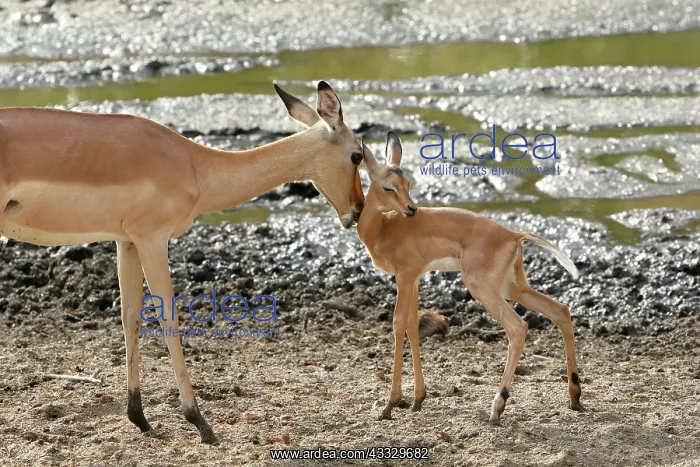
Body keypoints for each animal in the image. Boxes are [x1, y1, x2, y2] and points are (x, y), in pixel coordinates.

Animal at [0, 81, 365, 444]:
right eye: (357, 155)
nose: (357, 210)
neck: (193, 165)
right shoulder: (152, 238)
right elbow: (168, 318)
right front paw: (200, 422)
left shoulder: (127, 242)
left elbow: (130, 317)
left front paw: (139, 418)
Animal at [357, 132, 582, 423]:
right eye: (389, 186)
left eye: (406, 183)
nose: (411, 209)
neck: (383, 229)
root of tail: (514, 235)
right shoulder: (414, 278)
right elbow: (412, 325)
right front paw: (417, 400)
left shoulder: (404, 276)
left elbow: (398, 324)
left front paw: (390, 404)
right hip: (512, 287)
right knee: (560, 311)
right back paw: (575, 397)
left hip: (483, 289)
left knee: (518, 327)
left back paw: (497, 406)